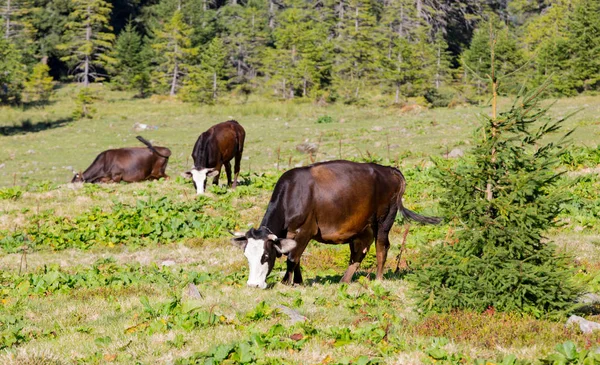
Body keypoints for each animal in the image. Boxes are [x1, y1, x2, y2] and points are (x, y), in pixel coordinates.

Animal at [230, 159, 440, 288]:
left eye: (265, 256)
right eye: (247, 256)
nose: (253, 285)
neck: (293, 194)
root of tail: (390, 170)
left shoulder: (305, 230)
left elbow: (292, 258)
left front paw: (286, 282)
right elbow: (296, 257)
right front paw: (298, 281)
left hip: (384, 220)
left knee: (382, 247)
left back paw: (379, 279)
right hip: (362, 226)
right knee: (359, 252)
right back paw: (344, 281)